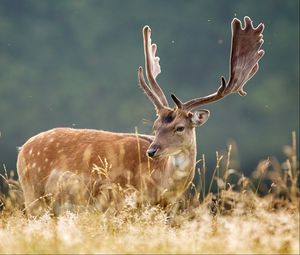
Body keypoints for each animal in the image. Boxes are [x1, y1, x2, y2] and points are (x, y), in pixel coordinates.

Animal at [17, 16, 264, 215]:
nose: (152, 151)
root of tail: (22, 149)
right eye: (155, 126)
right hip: (33, 195)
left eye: (180, 127)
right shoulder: (117, 200)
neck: (159, 185)